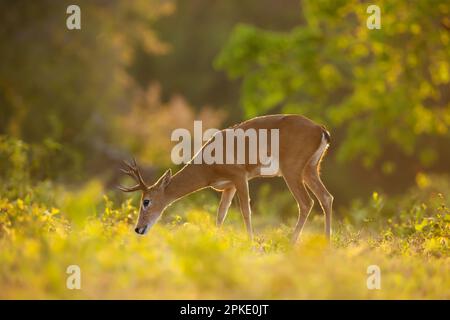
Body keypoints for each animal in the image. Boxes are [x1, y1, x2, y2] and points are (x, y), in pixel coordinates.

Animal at [119, 115, 334, 242]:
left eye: (146, 201)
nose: (138, 229)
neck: (207, 168)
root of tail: (321, 130)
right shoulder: (228, 186)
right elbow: (221, 214)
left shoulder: (239, 174)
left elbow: (246, 210)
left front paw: (251, 244)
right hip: (311, 168)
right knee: (326, 197)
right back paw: (327, 243)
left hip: (292, 168)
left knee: (306, 202)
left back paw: (292, 243)